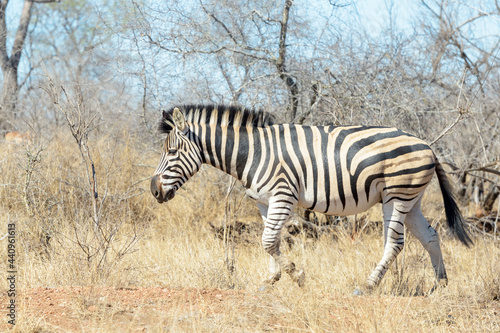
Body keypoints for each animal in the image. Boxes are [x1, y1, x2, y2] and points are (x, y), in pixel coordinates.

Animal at [150, 104, 470, 290]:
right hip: (411, 199)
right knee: (430, 237)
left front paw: (295, 274)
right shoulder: (264, 202)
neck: (252, 153)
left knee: (395, 243)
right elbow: (271, 240)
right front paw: (271, 278)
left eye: (172, 152)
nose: (154, 190)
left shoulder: (282, 195)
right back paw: (441, 285)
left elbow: (268, 240)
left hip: (397, 195)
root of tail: (427, 146)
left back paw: (368, 285)